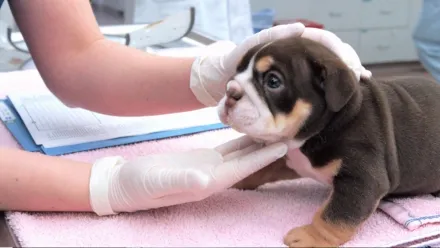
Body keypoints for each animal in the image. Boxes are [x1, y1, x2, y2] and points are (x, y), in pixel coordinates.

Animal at [218, 36, 440, 246]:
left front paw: (311, 236)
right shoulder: (290, 159)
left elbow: (336, 215)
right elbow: (261, 168)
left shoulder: (361, 180)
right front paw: (237, 178)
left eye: (273, 81)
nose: (230, 91)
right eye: (237, 71)